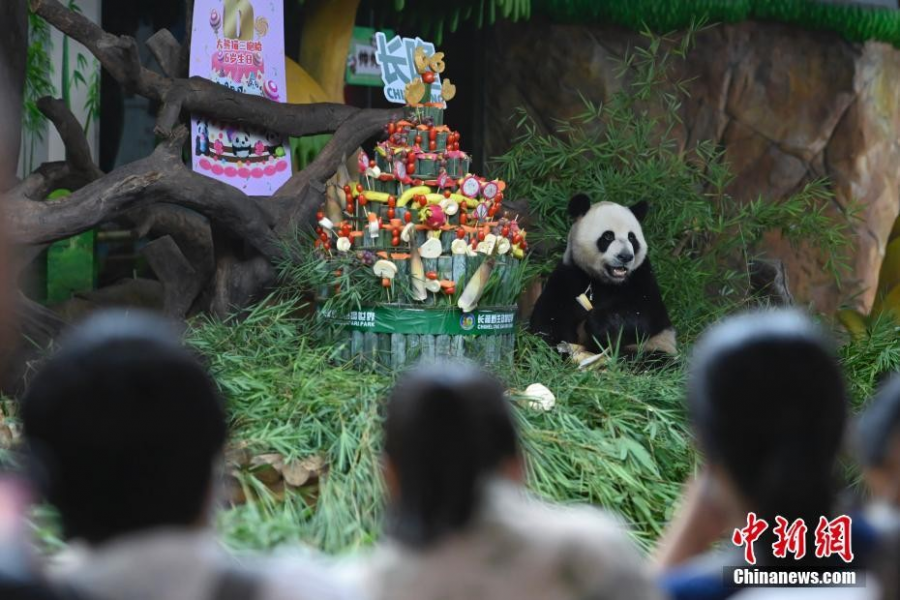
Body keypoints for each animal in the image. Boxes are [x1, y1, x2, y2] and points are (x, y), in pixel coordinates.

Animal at [528, 195, 676, 358]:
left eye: (632, 238)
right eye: (608, 236)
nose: (625, 256)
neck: (606, 281)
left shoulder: (641, 274)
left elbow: (645, 313)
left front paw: (598, 323)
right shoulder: (570, 273)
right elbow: (549, 315)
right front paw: (560, 349)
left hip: (654, 344)